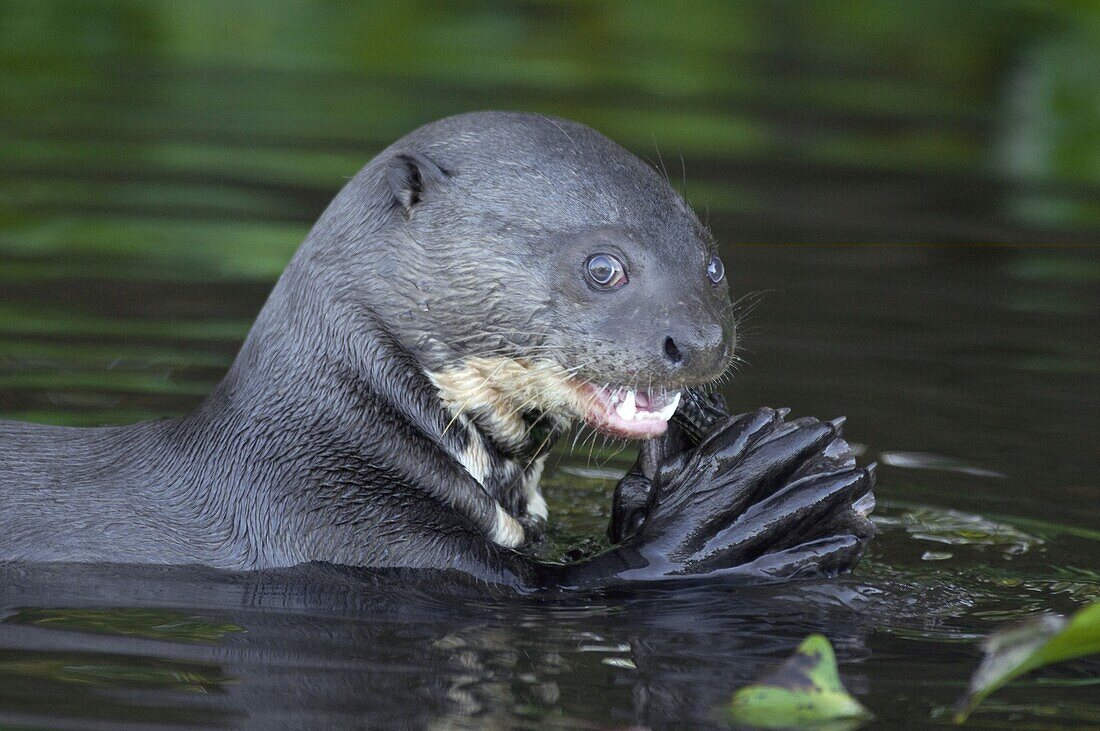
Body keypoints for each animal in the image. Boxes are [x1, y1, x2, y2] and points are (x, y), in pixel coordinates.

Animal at [0, 111, 875, 589]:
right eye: (605, 266)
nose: (698, 341)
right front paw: (742, 505)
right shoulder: (353, 537)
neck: (323, 453)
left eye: (714, 264)